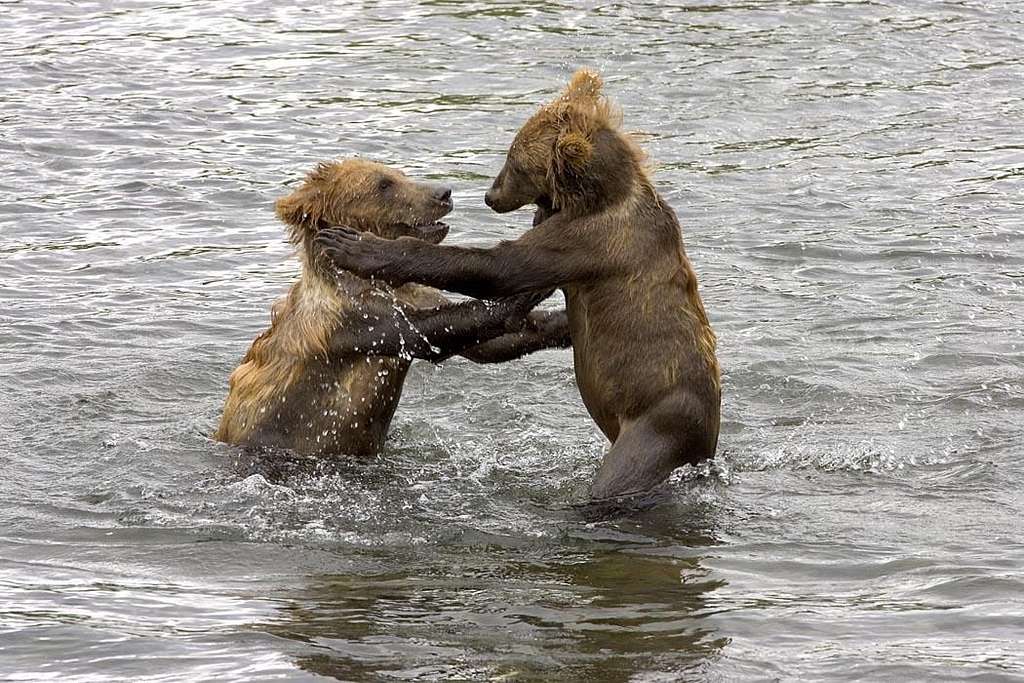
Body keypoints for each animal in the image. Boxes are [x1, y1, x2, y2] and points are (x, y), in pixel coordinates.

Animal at [215, 159, 570, 458]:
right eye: (384, 184)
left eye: (399, 174)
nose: (443, 192)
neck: (376, 284)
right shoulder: (351, 321)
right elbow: (429, 332)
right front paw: (528, 291)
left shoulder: (415, 295)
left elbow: (488, 345)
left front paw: (562, 322)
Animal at [314, 71, 721, 501]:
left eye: (515, 163)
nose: (489, 196)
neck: (594, 198)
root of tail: (706, 449)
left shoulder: (593, 240)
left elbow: (500, 266)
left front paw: (354, 245)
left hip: (658, 425)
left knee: (622, 474)